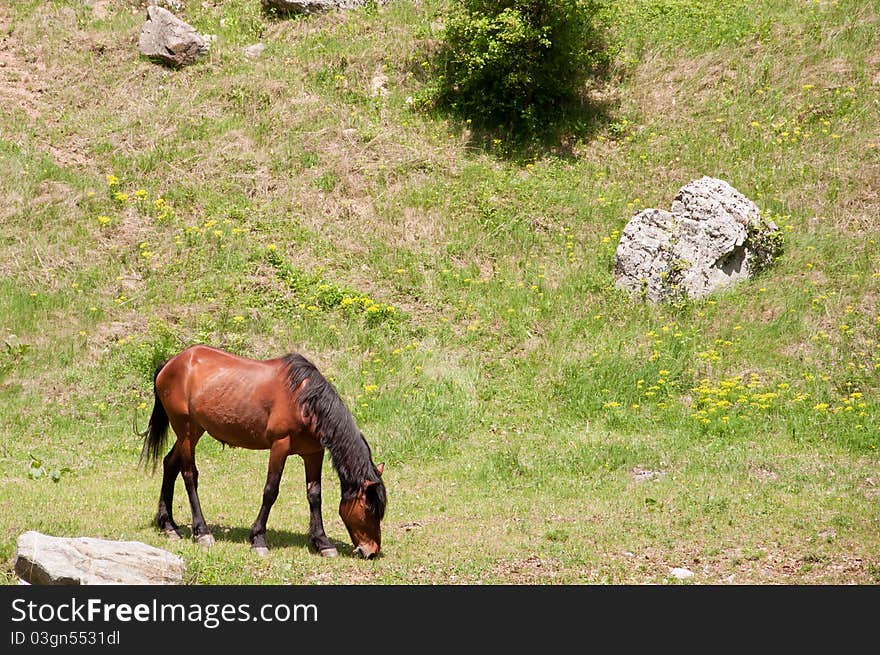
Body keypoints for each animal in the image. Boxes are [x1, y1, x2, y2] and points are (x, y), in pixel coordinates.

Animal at [140, 344, 384, 560]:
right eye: (369, 509)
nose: (370, 551)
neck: (304, 400)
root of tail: (170, 363)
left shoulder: (314, 453)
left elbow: (315, 495)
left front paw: (322, 543)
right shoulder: (279, 446)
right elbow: (270, 491)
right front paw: (258, 539)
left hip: (193, 432)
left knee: (170, 464)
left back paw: (169, 526)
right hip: (187, 431)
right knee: (189, 475)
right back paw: (202, 532)